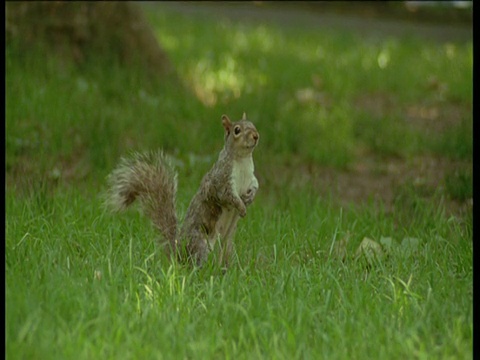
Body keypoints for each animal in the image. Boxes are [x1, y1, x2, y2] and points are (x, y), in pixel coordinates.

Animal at [105, 113, 260, 268]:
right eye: (237, 130)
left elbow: (255, 186)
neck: (242, 160)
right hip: (200, 244)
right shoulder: (221, 180)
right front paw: (241, 207)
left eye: (253, 124)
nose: (256, 136)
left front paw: (249, 198)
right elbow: (228, 196)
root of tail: (179, 254)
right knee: (196, 262)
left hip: (228, 245)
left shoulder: (251, 178)